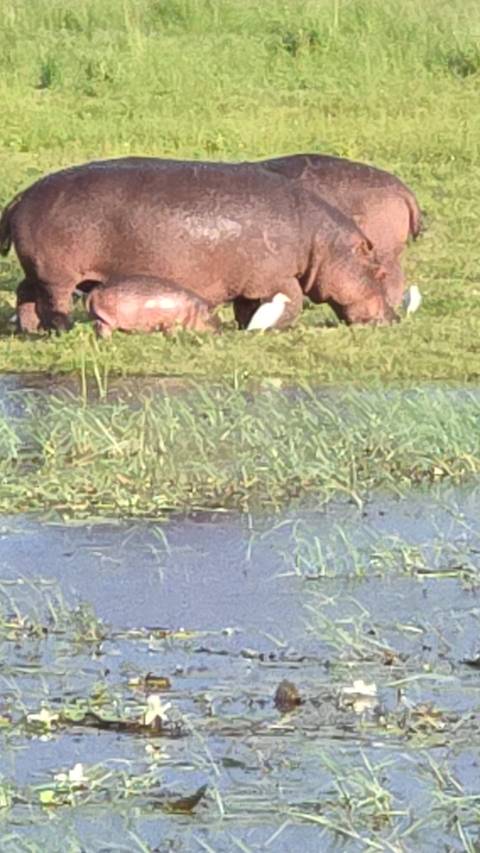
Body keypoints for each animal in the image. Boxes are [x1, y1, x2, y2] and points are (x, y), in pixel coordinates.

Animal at [84, 275, 219, 337]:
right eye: (208, 316)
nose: (219, 330)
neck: (193, 308)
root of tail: (94, 291)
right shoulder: (170, 323)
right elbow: (171, 332)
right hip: (109, 319)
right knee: (104, 330)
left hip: (99, 316)